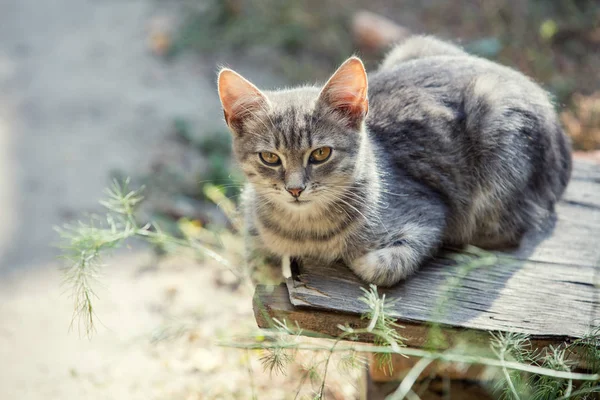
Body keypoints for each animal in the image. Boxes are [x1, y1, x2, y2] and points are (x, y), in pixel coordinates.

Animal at [216, 36, 572, 286]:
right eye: (269, 157)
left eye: (320, 154)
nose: (294, 189)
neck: (303, 230)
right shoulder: (251, 210)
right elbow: (256, 260)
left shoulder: (428, 215)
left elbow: (381, 266)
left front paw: (353, 258)